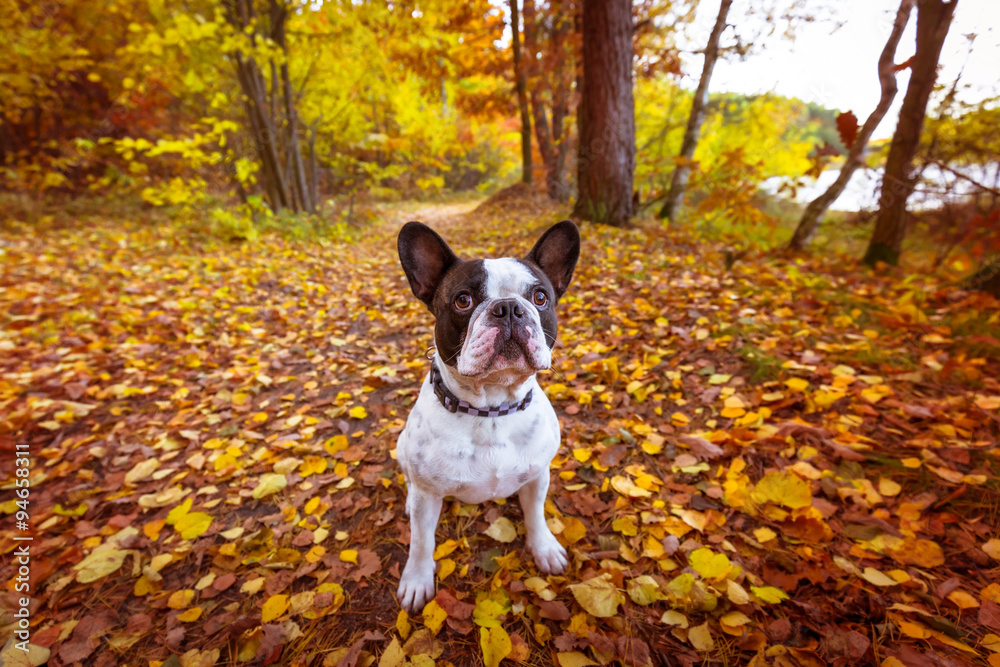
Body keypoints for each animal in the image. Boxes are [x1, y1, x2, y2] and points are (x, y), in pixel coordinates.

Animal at [390, 222, 580, 612]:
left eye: (540, 297)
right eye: (463, 300)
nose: (508, 308)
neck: (491, 408)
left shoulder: (538, 475)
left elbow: (536, 514)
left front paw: (544, 548)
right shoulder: (428, 494)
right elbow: (421, 542)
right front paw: (416, 580)